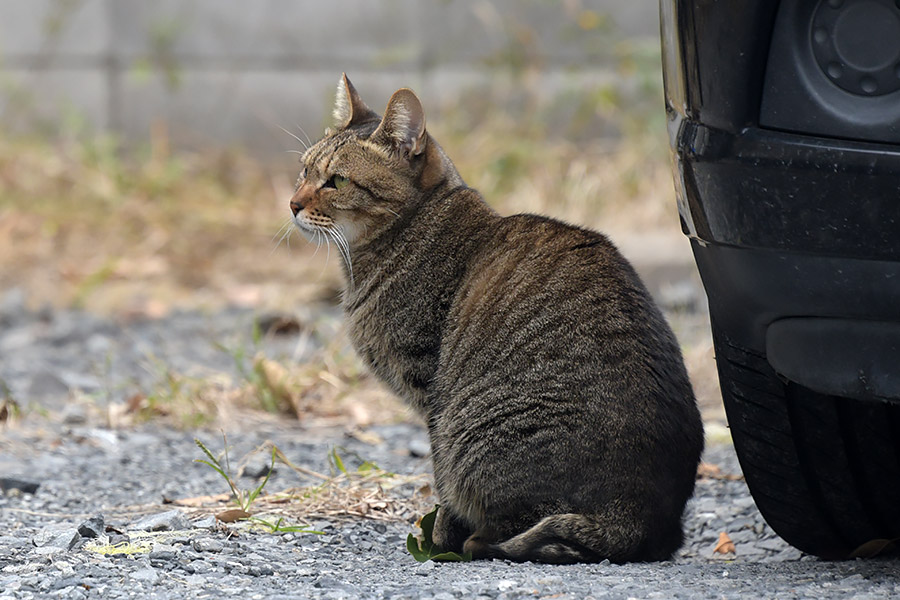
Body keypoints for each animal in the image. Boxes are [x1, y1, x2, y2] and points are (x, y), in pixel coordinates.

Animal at [288, 74, 704, 564]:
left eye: (336, 181)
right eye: (304, 170)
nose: (292, 203)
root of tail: (638, 517)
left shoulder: (431, 391)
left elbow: (441, 481)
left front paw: (440, 535)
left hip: (475, 430)